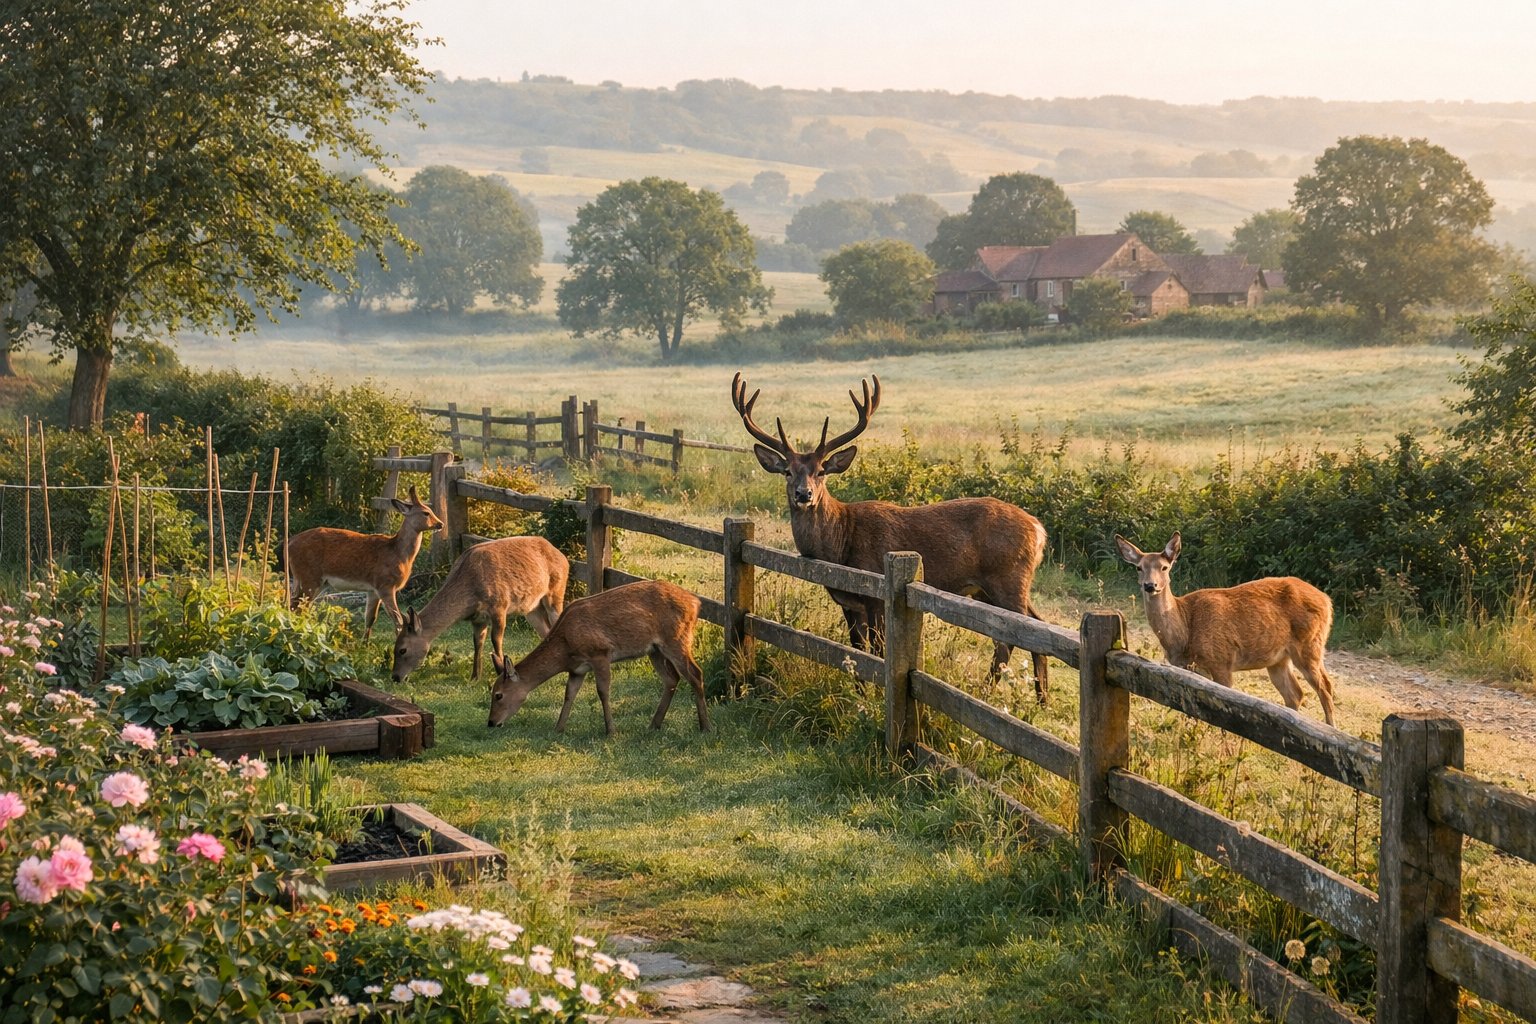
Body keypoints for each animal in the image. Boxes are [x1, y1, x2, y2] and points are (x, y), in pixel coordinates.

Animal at [285, 485, 442, 639]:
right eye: (426, 513)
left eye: (431, 511)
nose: (440, 523)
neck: (398, 553)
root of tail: (289, 543)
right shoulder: (385, 585)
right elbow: (398, 620)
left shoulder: (373, 589)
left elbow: (370, 619)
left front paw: (365, 644)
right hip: (309, 577)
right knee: (297, 607)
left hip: (318, 582)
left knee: (296, 605)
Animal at [392, 535, 569, 683]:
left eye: (402, 650)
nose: (395, 677)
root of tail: (563, 557)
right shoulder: (477, 618)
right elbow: (477, 644)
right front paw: (475, 677)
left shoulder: (500, 605)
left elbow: (496, 640)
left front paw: (501, 672)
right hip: (531, 609)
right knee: (546, 631)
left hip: (556, 592)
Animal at [486, 579, 709, 736]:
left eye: (498, 695)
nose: (491, 722)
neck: (565, 648)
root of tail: (696, 602)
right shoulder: (577, 669)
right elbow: (569, 694)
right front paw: (558, 728)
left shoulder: (600, 653)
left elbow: (602, 691)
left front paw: (611, 731)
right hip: (654, 649)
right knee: (672, 678)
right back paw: (654, 725)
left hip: (677, 638)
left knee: (696, 673)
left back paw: (705, 726)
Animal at [731, 372, 1052, 698]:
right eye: (787, 471)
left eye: (821, 471)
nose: (803, 494)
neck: (840, 543)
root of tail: (1038, 529)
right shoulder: (850, 603)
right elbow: (857, 651)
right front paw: (860, 694)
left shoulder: (876, 596)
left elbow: (878, 651)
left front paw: (875, 696)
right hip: (991, 588)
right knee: (1033, 627)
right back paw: (1039, 698)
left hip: (1007, 577)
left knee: (1015, 636)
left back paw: (991, 691)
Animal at [1114, 533, 1338, 726]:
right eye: (1139, 567)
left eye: (1164, 567)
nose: (1150, 585)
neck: (1185, 632)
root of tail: (1327, 600)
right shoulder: (1187, 669)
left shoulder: (1221, 660)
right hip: (1278, 659)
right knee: (1295, 694)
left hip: (1310, 644)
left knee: (1325, 687)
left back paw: (1331, 729)